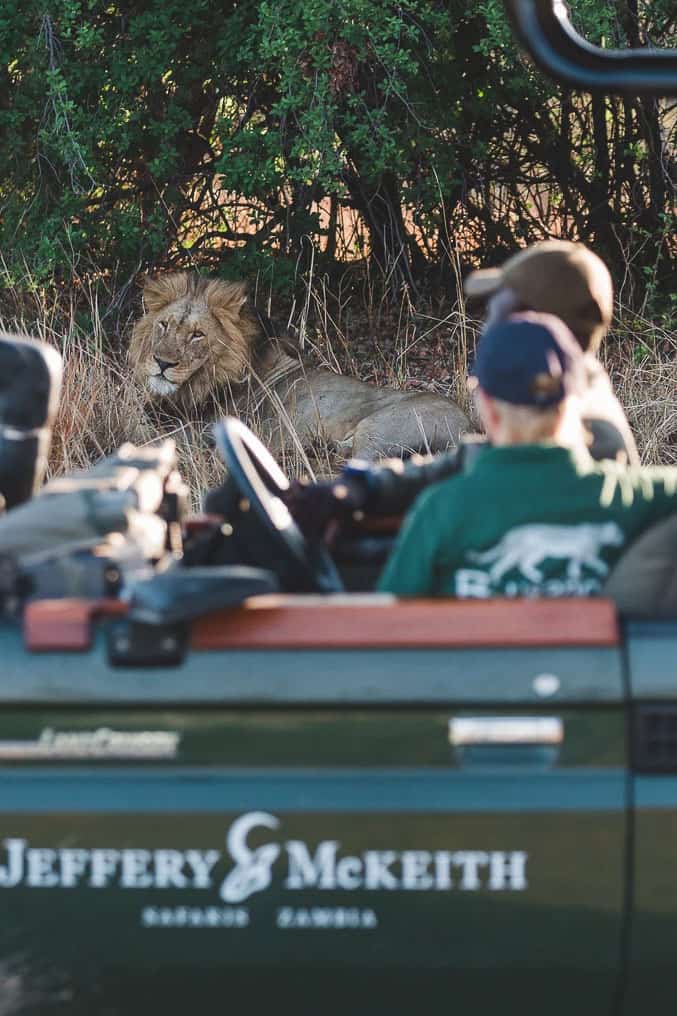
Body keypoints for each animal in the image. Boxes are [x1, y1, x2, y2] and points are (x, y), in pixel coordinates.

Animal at [126, 272, 467, 459]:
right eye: (163, 326)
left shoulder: (208, 429)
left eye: (198, 335)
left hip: (377, 431)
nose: (162, 362)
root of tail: (469, 430)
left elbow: (148, 435)